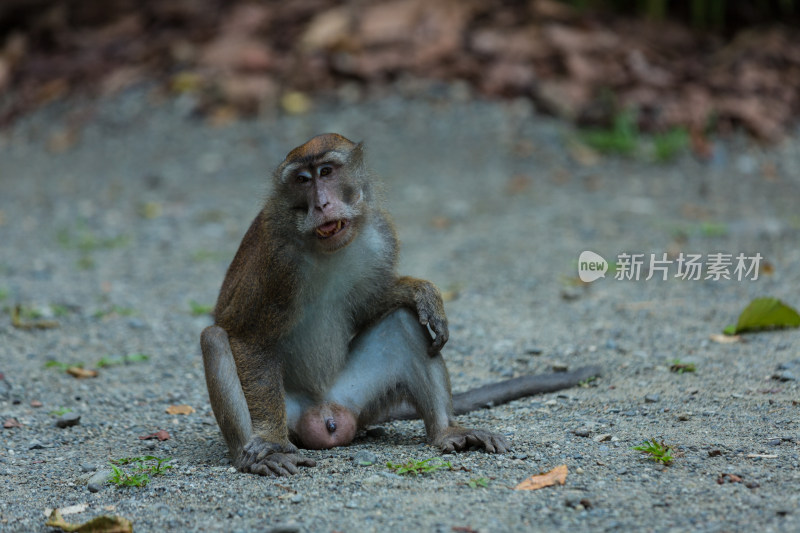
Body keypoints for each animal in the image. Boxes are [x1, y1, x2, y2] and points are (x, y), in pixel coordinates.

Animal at [200, 133, 600, 474]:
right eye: (302, 180)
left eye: (326, 172)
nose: (322, 203)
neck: (325, 246)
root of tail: (325, 414)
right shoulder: (277, 261)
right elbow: (249, 338)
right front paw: (269, 440)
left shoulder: (381, 233)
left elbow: (369, 304)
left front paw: (419, 291)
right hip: (295, 410)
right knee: (215, 339)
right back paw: (252, 456)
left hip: (355, 397)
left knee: (404, 324)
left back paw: (447, 431)